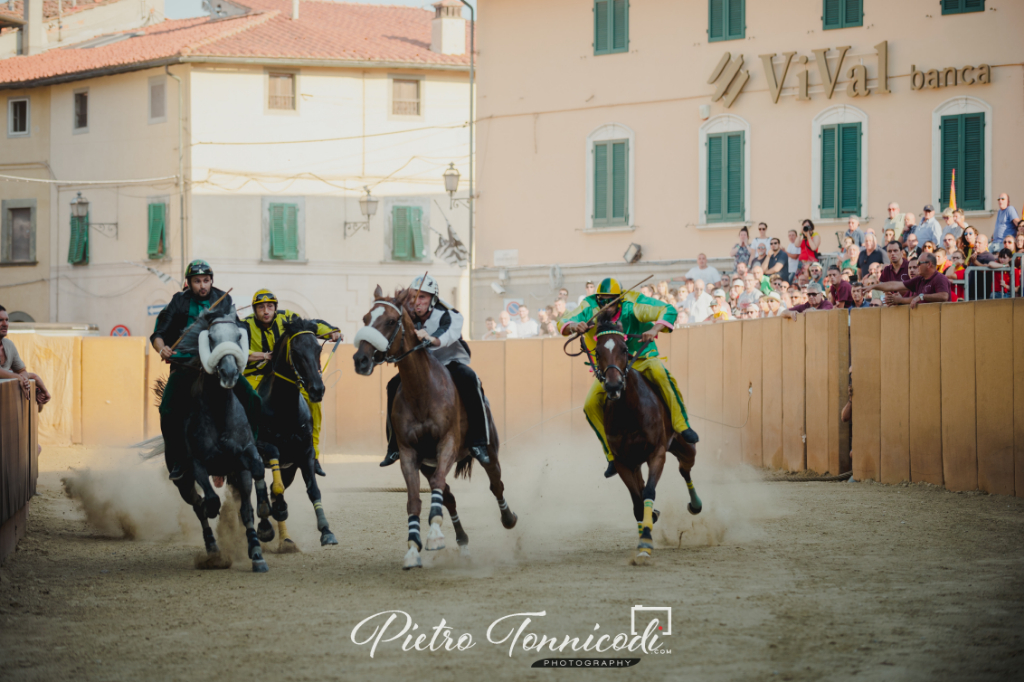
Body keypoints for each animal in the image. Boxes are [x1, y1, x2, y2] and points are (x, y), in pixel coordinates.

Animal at [168, 307, 272, 569]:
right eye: (211, 338)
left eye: (238, 336)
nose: (229, 373)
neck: (218, 410)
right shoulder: (197, 463)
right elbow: (210, 500)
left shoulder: (245, 455)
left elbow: (256, 472)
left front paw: (265, 522)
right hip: (182, 482)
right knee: (197, 505)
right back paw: (213, 548)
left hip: (237, 473)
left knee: (244, 509)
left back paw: (256, 551)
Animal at [352, 286, 516, 569]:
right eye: (365, 318)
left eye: (391, 321)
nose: (360, 359)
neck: (422, 392)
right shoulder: (409, 454)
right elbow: (414, 500)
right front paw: (413, 548)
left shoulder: (447, 445)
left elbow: (440, 484)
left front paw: (435, 535)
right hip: (427, 464)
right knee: (449, 497)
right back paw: (462, 543)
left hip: (490, 452)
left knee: (496, 484)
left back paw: (509, 519)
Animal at [593, 309, 704, 561]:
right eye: (597, 351)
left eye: (624, 349)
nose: (613, 385)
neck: (629, 412)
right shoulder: (623, 461)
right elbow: (637, 501)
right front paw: (646, 529)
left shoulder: (657, 453)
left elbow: (649, 492)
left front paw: (645, 541)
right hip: (636, 462)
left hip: (684, 445)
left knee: (685, 469)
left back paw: (695, 505)